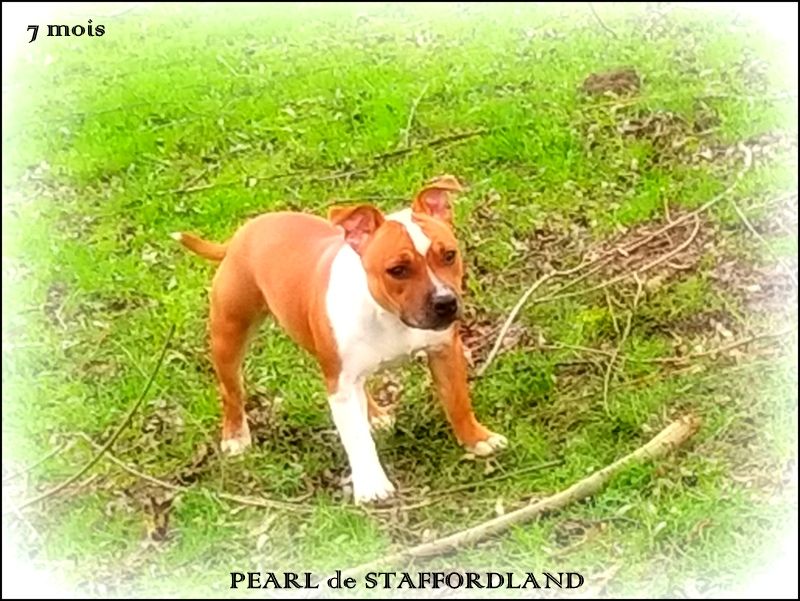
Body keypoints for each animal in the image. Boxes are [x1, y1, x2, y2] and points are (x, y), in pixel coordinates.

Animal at [172, 175, 506, 503]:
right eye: (397, 270)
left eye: (449, 255)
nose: (445, 302)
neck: (388, 315)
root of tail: (244, 232)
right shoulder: (340, 385)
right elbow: (356, 437)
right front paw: (371, 483)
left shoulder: (445, 351)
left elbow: (457, 400)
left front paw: (477, 439)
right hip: (229, 332)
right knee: (230, 389)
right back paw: (235, 436)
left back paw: (376, 415)